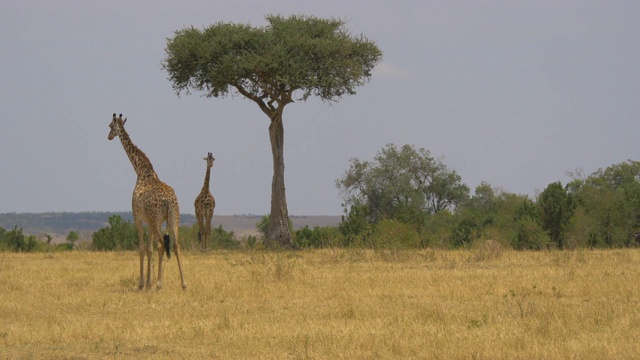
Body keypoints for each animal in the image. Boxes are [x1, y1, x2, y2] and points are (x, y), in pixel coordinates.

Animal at [106, 113, 186, 290]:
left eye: (110, 126)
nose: (108, 136)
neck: (141, 170)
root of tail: (168, 200)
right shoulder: (149, 221)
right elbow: (149, 249)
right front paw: (149, 282)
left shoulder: (138, 217)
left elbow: (142, 248)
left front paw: (142, 283)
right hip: (173, 217)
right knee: (176, 245)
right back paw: (184, 284)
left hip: (157, 219)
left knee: (161, 244)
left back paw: (159, 284)